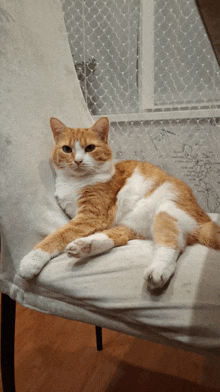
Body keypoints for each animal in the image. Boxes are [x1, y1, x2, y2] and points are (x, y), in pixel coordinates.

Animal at [19, 116, 220, 288]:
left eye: (90, 148)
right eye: (67, 149)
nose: (78, 161)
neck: (75, 182)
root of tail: (204, 218)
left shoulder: (90, 217)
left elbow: (58, 235)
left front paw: (31, 260)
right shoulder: (81, 216)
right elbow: (65, 232)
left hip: (167, 210)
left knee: (172, 245)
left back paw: (158, 271)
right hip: (130, 225)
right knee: (118, 237)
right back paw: (84, 246)